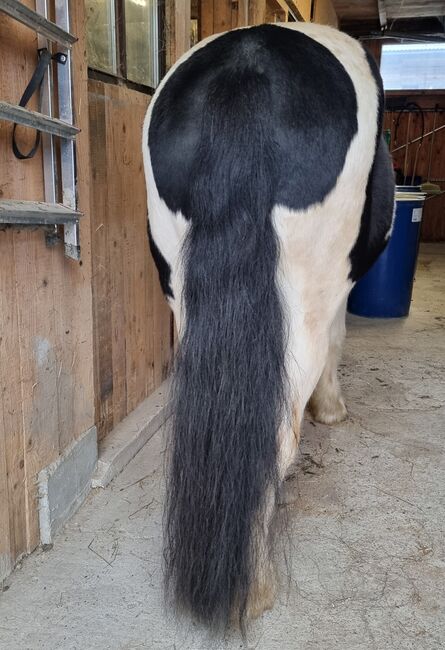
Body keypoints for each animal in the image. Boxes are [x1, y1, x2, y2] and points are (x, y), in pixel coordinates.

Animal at [141, 22, 392, 632]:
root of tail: (245, 69)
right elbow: (337, 342)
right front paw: (332, 410)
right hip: (303, 299)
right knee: (274, 438)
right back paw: (252, 591)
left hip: (182, 293)